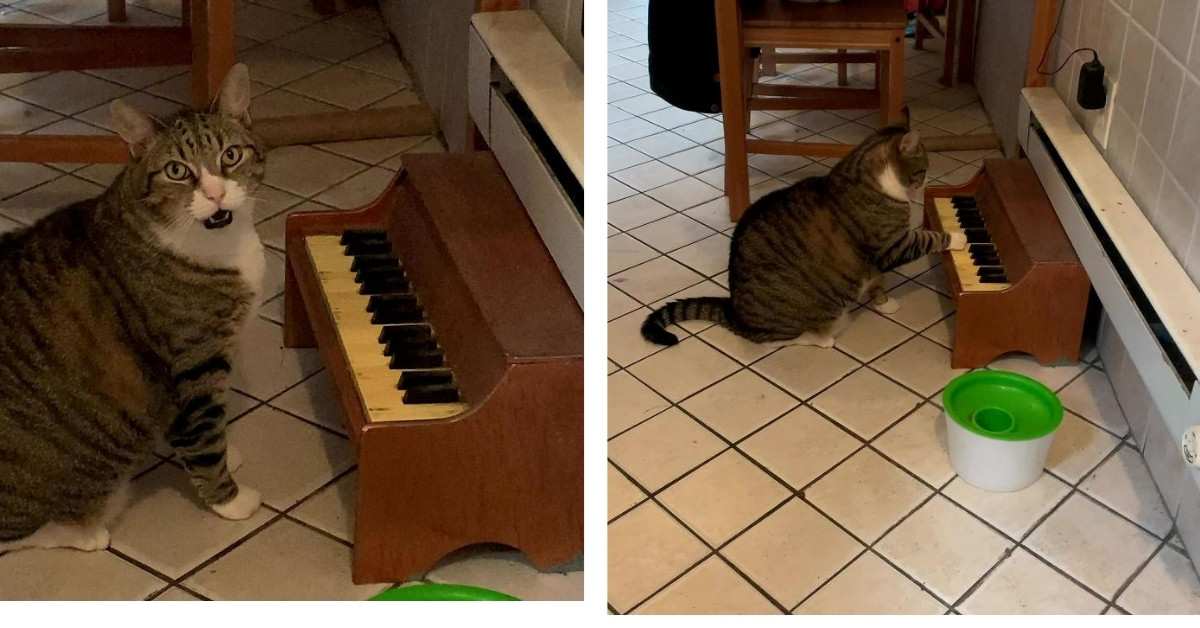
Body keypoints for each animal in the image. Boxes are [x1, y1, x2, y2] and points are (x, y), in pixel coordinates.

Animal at [0, 65, 265, 554]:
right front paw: (230, 500)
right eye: (177, 170)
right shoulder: (192, 365)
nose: (216, 194)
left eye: (231, 155)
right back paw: (82, 531)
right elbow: (203, 437)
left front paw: (230, 451)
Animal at [638, 110, 964, 350]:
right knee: (776, 340)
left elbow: (877, 283)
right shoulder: (891, 245)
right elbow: (927, 238)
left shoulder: (875, 262)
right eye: (923, 170)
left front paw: (883, 303)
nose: (926, 182)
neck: (873, 179)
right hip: (798, 318)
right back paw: (822, 337)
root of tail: (736, 313)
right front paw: (958, 237)